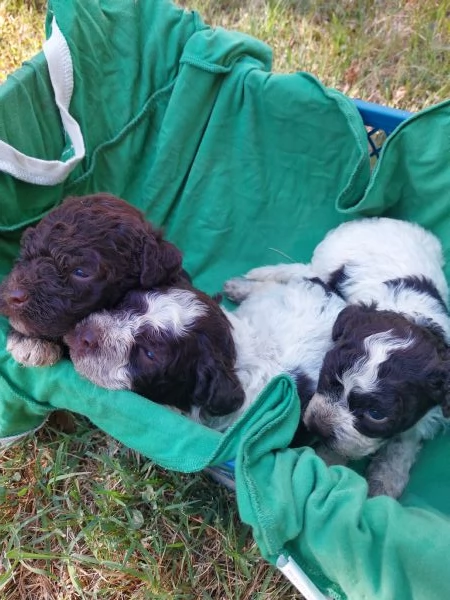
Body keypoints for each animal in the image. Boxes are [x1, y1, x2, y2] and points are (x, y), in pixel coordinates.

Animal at [244, 218, 450, 500]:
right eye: (328, 378)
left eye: (376, 414)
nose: (317, 428)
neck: (408, 315)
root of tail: (379, 220)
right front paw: (328, 465)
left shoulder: (430, 410)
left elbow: (403, 443)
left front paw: (386, 482)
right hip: (325, 263)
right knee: (297, 271)